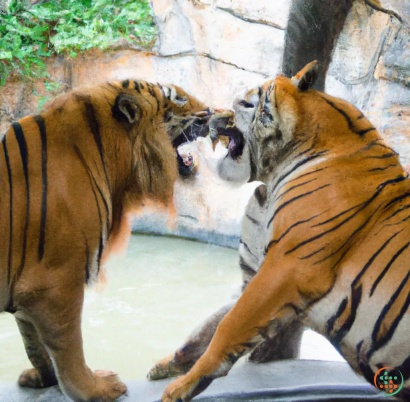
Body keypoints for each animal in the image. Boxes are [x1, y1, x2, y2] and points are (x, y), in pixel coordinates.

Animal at [0, 79, 221, 402]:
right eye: (178, 98)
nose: (213, 112)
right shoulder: (56, 283)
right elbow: (69, 349)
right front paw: (98, 389)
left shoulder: (27, 289)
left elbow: (34, 344)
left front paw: (42, 378)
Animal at [159, 60, 410, 402]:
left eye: (248, 101)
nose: (213, 115)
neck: (270, 178)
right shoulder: (255, 272)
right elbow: (211, 323)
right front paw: (169, 365)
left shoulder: (287, 267)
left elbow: (228, 326)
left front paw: (181, 387)